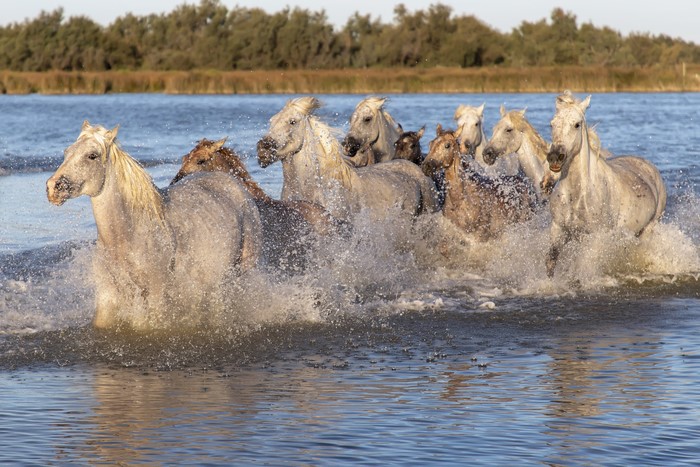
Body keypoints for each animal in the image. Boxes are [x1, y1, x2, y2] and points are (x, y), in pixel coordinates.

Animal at [46, 121, 263, 329]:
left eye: (92, 155)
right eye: (67, 152)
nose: (53, 188)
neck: (128, 233)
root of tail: (232, 182)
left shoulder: (156, 295)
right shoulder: (108, 295)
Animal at [545, 91, 667, 277]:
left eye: (577, 125)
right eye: (552, 124)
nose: (554, 157)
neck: (578, 195)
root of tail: (649, 166)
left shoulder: (594, 237)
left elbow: (583, 266)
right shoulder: (558, 228)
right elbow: (551, 262)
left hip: (649, 228)